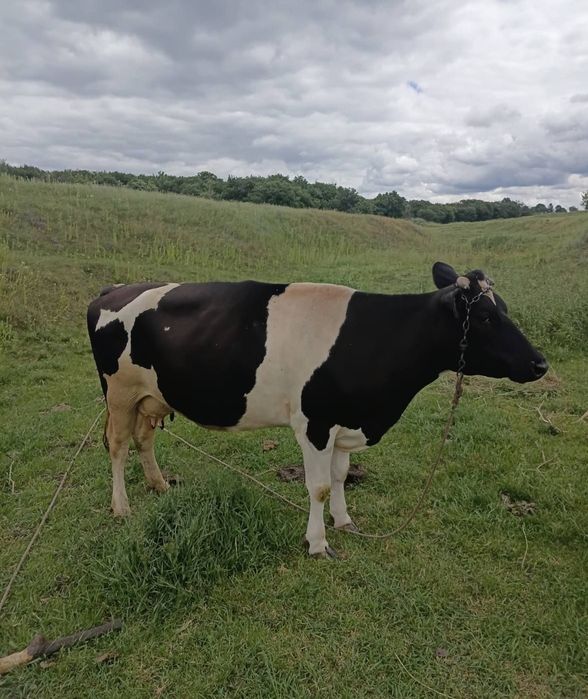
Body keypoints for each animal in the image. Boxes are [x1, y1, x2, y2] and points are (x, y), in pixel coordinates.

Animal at [87, 262, 547, 558]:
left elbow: (341, 477)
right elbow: (319, 487)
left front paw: (344, 523)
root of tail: (114, 289)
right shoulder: (315, 423)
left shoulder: (346, 420)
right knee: (118, 445)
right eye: (485, 317)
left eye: (504, 309)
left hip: (151, 395)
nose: (540, 363)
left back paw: (160, 485)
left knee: (144, 439)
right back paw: (121, 506)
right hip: (119, 393)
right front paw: (319, 543)